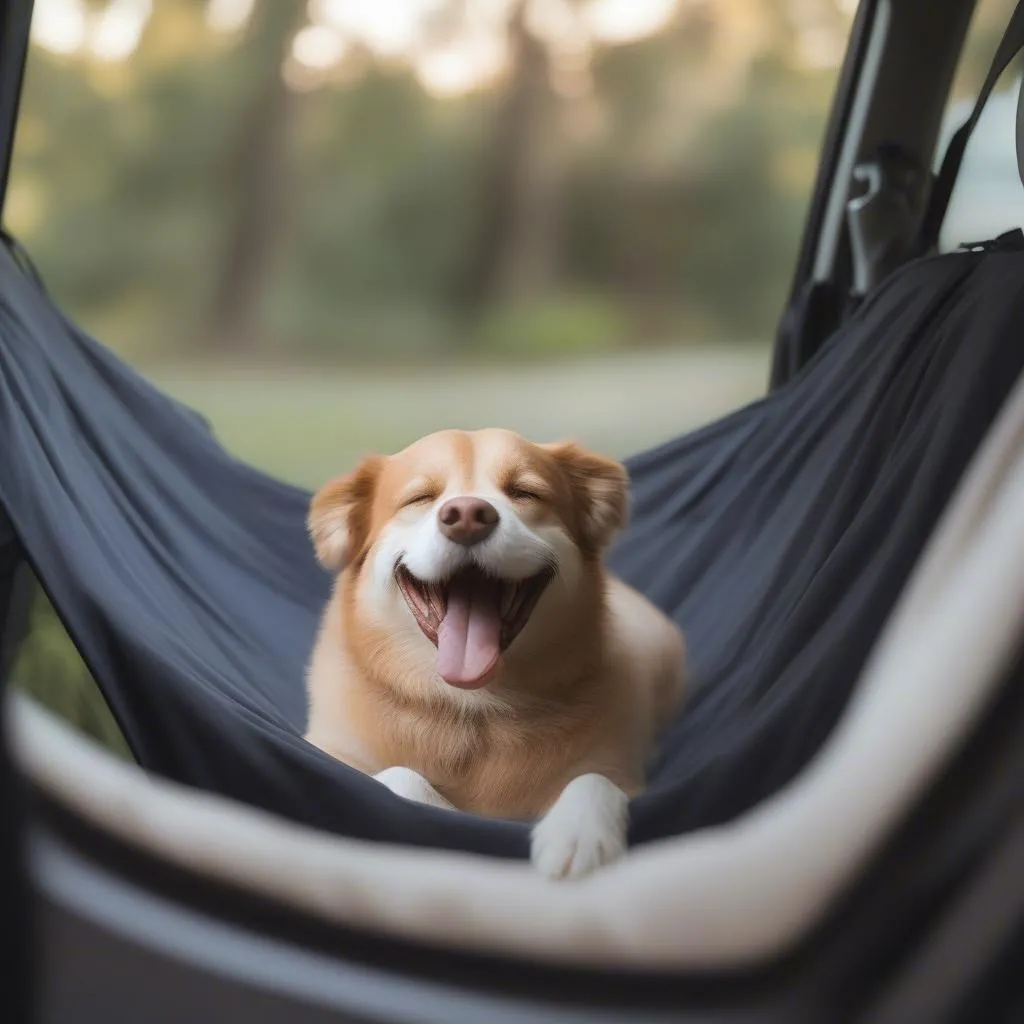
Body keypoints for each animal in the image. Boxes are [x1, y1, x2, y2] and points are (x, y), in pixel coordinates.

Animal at [303, 428, 688, 876]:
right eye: (420, 498)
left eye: (525, 492)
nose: (468, 515)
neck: (474, 708)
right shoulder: (331, 750)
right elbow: (397, 775)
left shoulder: (618, 766)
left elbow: (594, 779)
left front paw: (578, 833)